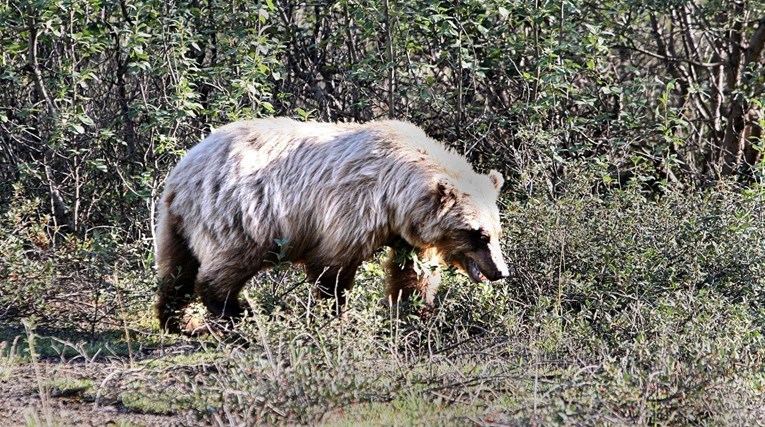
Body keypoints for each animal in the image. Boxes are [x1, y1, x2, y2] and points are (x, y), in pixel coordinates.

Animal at [154, 118, 508, 334]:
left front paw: (416, 311)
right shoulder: (351, 207)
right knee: (226, 265)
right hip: (243, 214)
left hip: (176, 223)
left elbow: (413, 273)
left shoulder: (406, 233)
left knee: (177, 269)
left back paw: (177, 319)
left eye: (496, 231)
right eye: (478, 234)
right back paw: (235, 314)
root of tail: (183, 171)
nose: (500, 271)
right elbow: (332, 268)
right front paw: (337, 315)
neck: (395, 196)